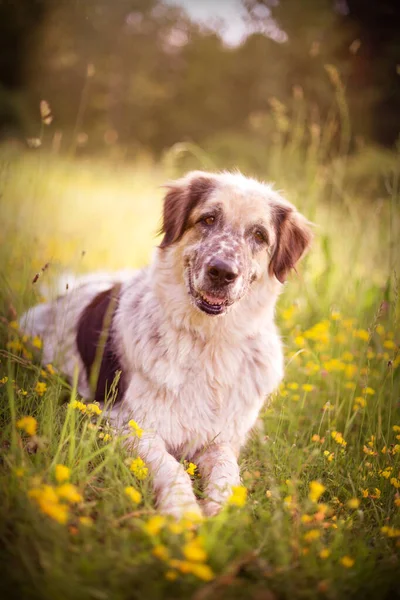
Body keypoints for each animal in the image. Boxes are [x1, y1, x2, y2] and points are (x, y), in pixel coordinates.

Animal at [19, 171, 312, 516]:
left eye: (259, 235)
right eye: (208, 219)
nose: (222, 272)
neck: (208, 342)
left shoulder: (221, 438)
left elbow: (228, 472)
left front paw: (220, 513)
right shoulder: (127, 425)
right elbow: (171, 468)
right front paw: (184, 513)